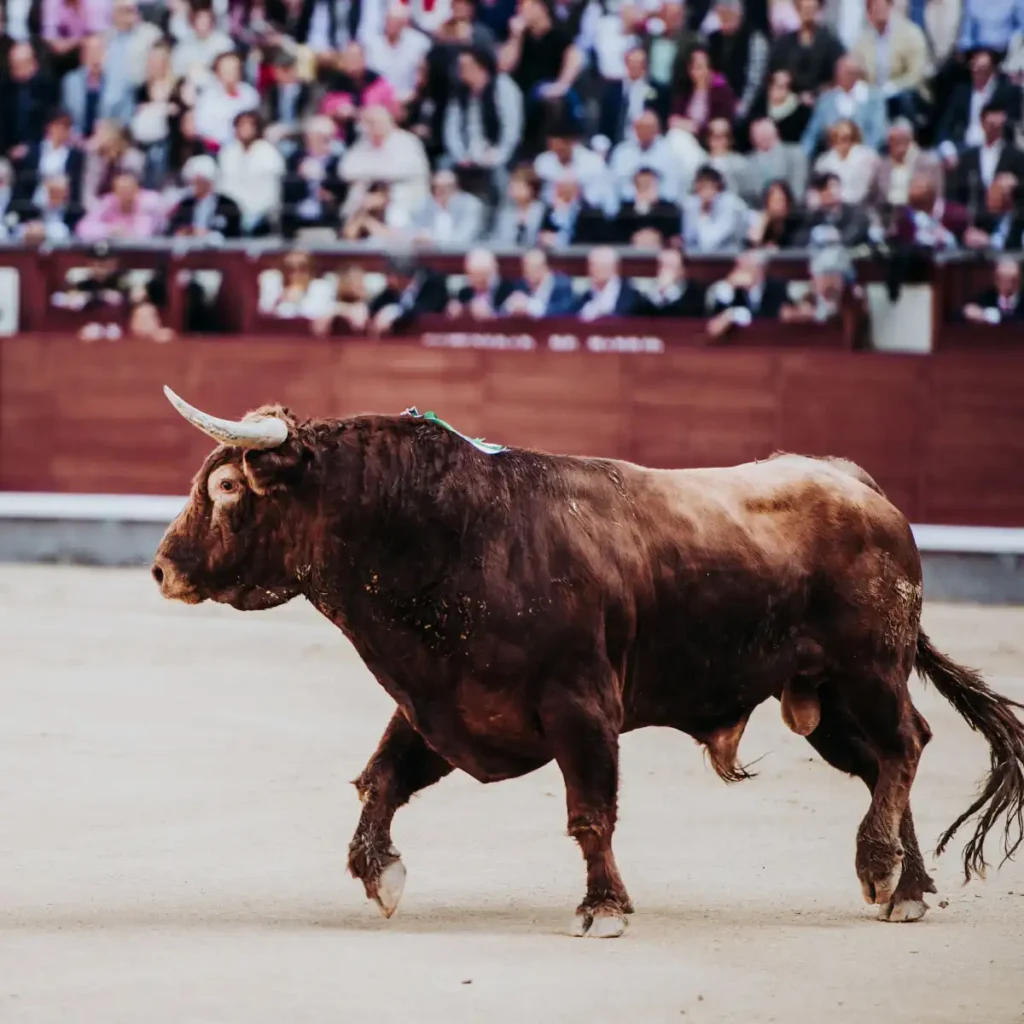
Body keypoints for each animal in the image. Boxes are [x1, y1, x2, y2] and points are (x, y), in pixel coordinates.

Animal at [151, 385, 1024, 937]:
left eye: (226, 487)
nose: (161, 569)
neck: (450, 530)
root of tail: (855, 483)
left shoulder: (580, 707)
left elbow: (589, 812)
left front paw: (603, 908)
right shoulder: (443, 703)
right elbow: (382, 779)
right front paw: (381, 875)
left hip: (867, 668)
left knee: (904, 746)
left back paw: (881, 871)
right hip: (820, 698)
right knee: (883, 764)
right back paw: (907, 887)